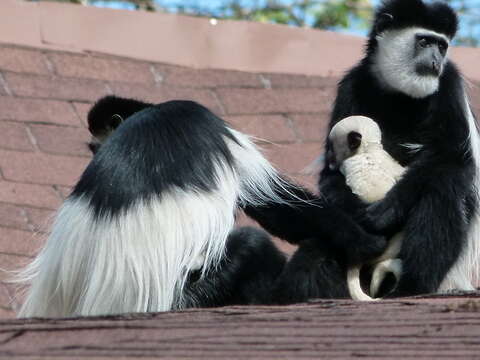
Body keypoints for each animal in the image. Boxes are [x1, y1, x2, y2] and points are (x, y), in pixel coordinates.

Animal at [15, 96, 386, 318]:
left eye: (95, 148)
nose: (93, 155)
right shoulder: (211, 125)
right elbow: (279, 207)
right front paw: (365, 241)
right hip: (192, 294)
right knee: (253, 245)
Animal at [316, 0, 480, 296]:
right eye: (424, 41)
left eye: (442, 46)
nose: (436, 61)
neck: (401, 94)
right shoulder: (352, 84)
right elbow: (331, 174)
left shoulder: (449, 84)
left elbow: (454, 160)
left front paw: (385, 211)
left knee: (443, 190)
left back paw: (413, 285)